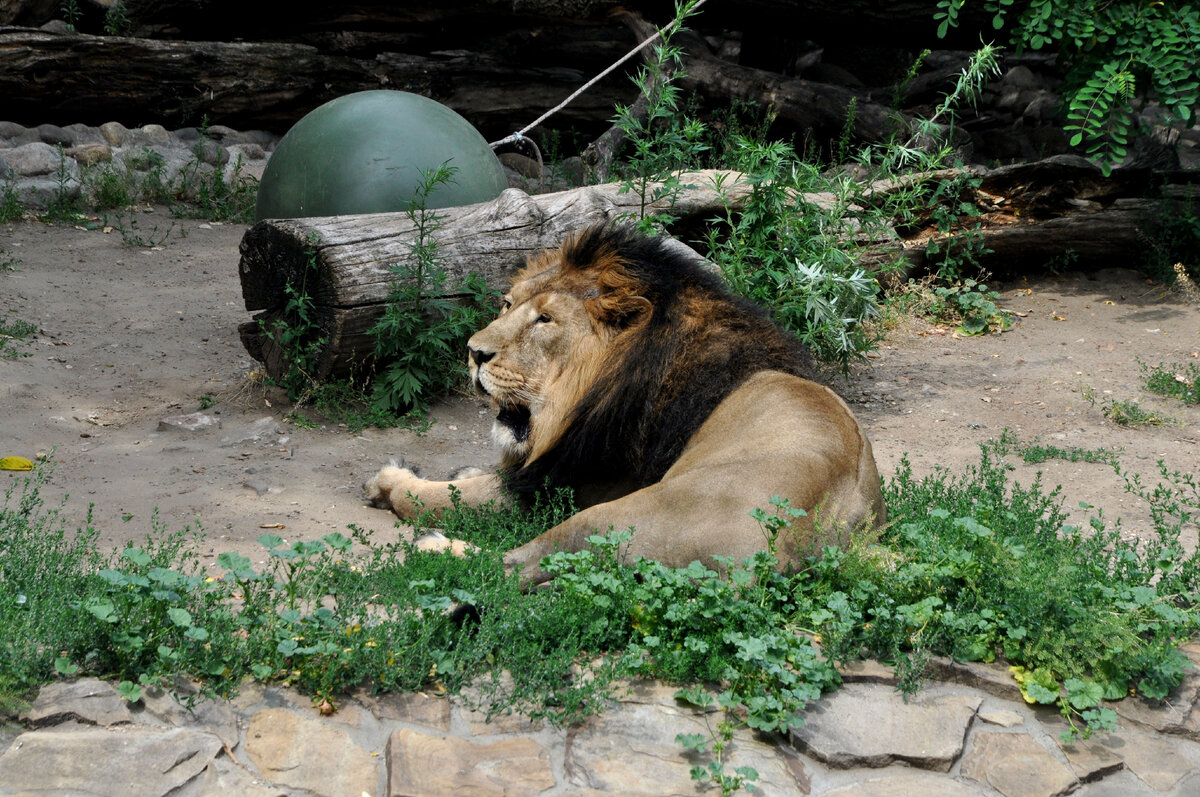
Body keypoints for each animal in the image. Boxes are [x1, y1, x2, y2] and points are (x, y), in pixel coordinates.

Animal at [362, 224, 883, 585]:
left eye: (545, 320)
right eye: (507, 304)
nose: (474, 352)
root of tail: (781, 555)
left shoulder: (562, 488)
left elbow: (443, 499)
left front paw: (391, 483)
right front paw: (465, 469)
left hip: (609, 516)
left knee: (511, 566)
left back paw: (436, 549)